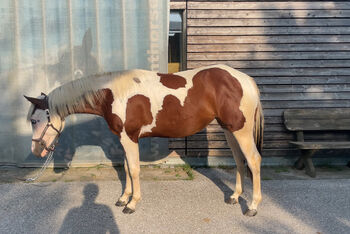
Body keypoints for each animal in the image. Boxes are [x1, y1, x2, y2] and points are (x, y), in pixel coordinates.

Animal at [24, 63, 264, 216]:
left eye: (35, 120)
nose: (37, 150)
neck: (112, 93)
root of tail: (246, 80)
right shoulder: (123, 138)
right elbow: (127, 168)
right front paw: (124, 198)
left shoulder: (129, 138)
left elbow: (134, 169)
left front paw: (132, 204)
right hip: (229, 129)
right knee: (239, 160)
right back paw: (235, 197)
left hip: (241, 131)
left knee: (253, 160)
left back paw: (252, 206)